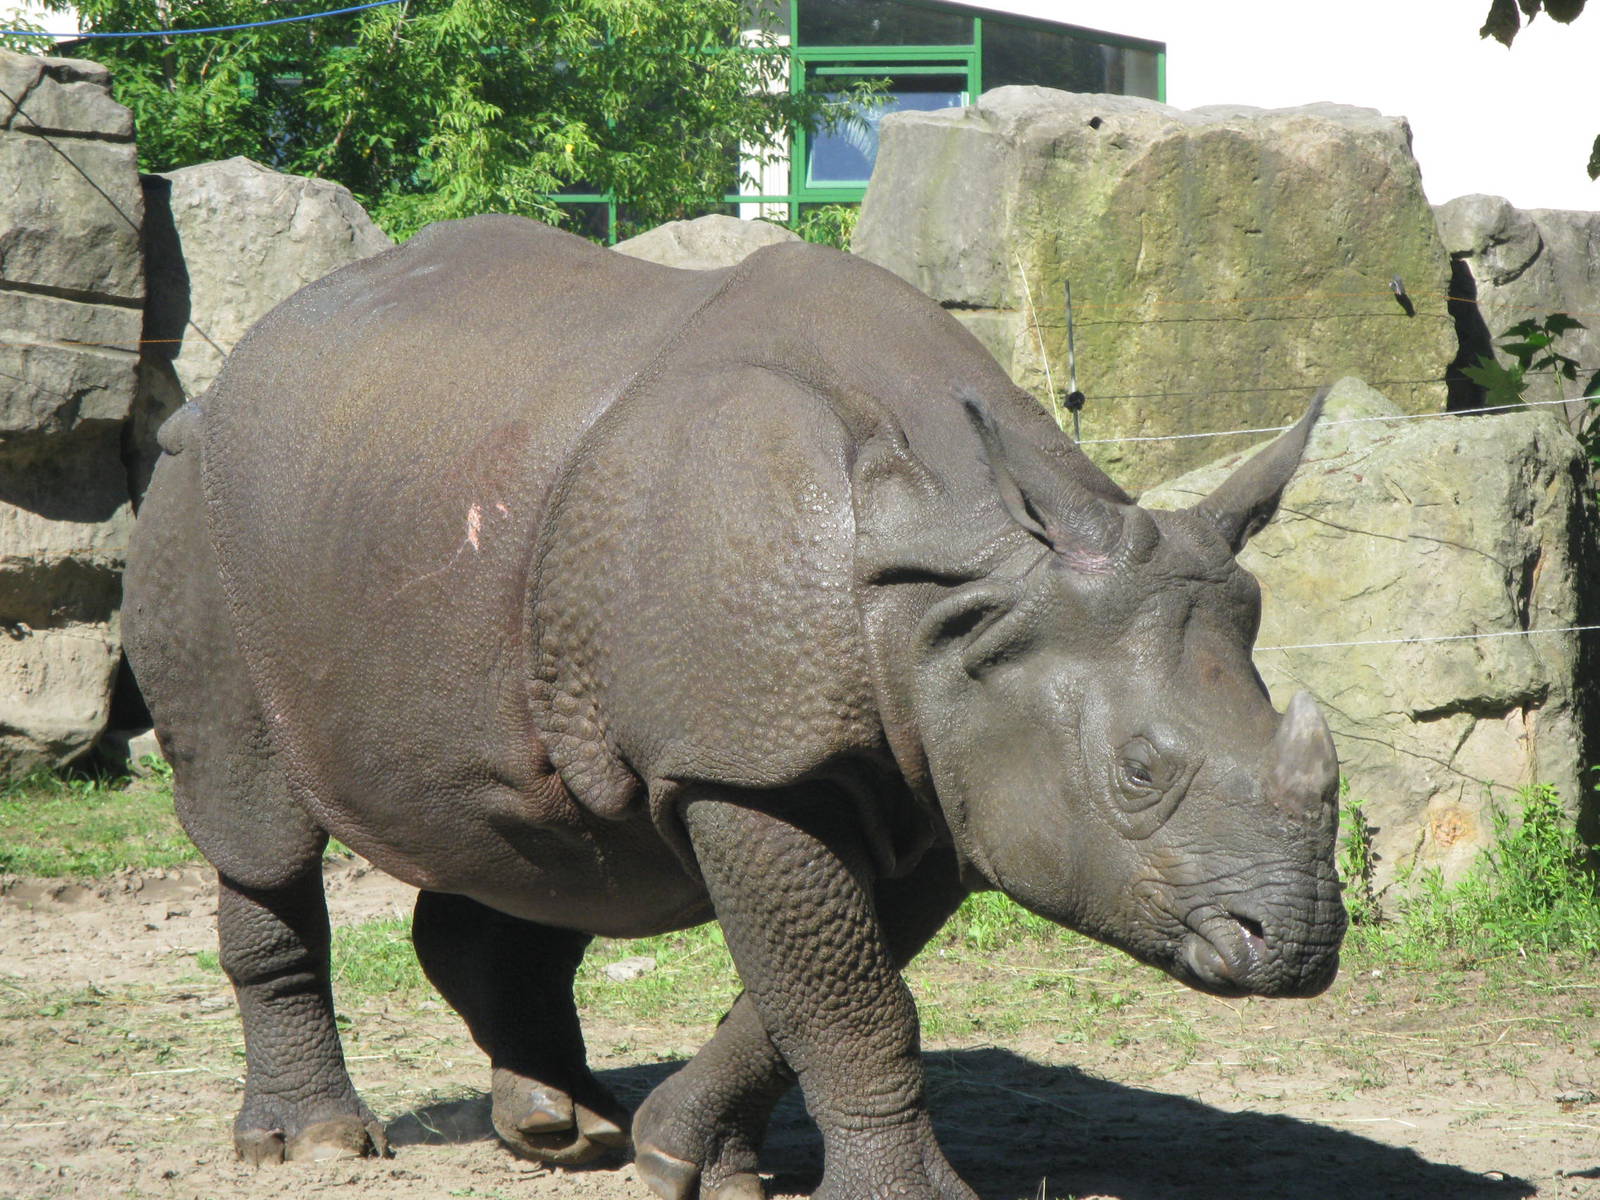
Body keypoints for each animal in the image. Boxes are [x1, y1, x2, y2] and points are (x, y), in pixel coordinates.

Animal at [122, 215, 1346, 1200]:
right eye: (1138, 772)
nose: (1296, 944)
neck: (962, 582)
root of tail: (235, 367)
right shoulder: (747, 763)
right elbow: (853, 999)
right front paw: (898, 1197)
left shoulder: (937, 768)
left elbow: (814, 987)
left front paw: (681, 1155)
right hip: (196, 505)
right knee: (254, 815)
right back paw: (318, 1145)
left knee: (544, 836)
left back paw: (563, 1129)